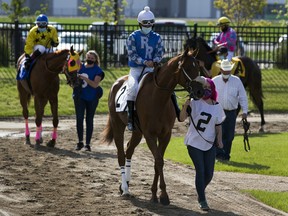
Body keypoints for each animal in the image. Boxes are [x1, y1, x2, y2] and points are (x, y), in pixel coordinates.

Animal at [102, 49, 204, 206]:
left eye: (197, 67)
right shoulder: (150, 135)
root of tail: (117, 82)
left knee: (129, 150)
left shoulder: (165, 135)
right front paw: (163, 195)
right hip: (117, 124)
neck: (158, 98)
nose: (200, 92)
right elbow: (159, 161)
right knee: (120, 154)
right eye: (186, 67)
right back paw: (125, 189)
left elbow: (158, 162)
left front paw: (155, 194)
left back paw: (126, 183)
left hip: (137, 132)